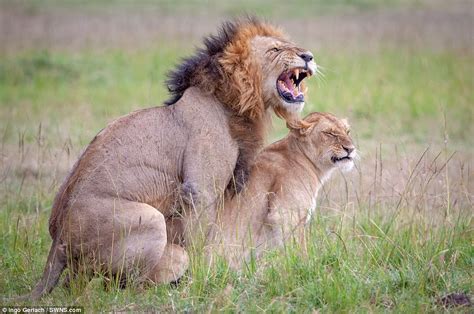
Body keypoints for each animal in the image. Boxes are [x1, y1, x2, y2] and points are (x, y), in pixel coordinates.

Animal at [23, 18, 318, 300]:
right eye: (275, 50)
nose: (309, 56)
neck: (235, 103)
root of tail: (57, 242)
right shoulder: (200, 190)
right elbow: (200, 241)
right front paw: (203, 279)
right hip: (150, 220)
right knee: (123, 284)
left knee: (76, 282)